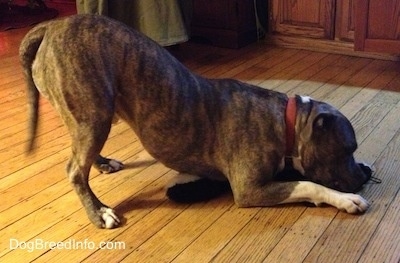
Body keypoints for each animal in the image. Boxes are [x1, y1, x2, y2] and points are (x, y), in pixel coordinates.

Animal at [20, 14, 374, 229]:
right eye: (347, 149)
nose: (363, 175)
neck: (286, 123)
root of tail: (51, 25)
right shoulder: (250, 190)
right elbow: (309, 184)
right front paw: (346, 199)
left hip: (89, 116)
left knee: (81, 156)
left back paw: (104, 163)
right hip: (93, 113)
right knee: (74, 170)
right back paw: (99, 213)